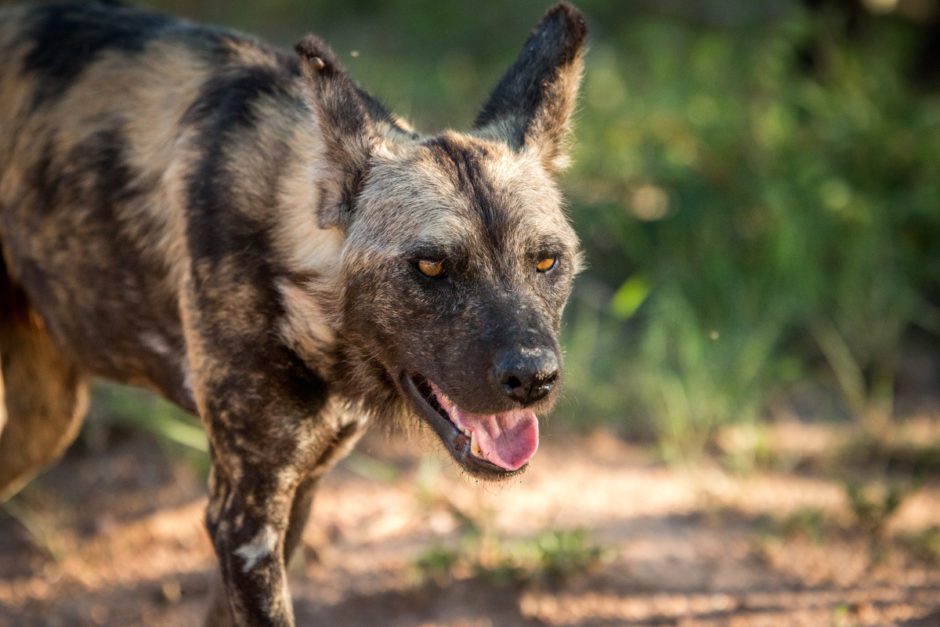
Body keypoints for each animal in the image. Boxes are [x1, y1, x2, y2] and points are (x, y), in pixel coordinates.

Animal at [0, 2, 584, 624]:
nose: (533, 378)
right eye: (430, 266)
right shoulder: (244, 521)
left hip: (47, 422)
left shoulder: (293, 498)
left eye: (546, 261)